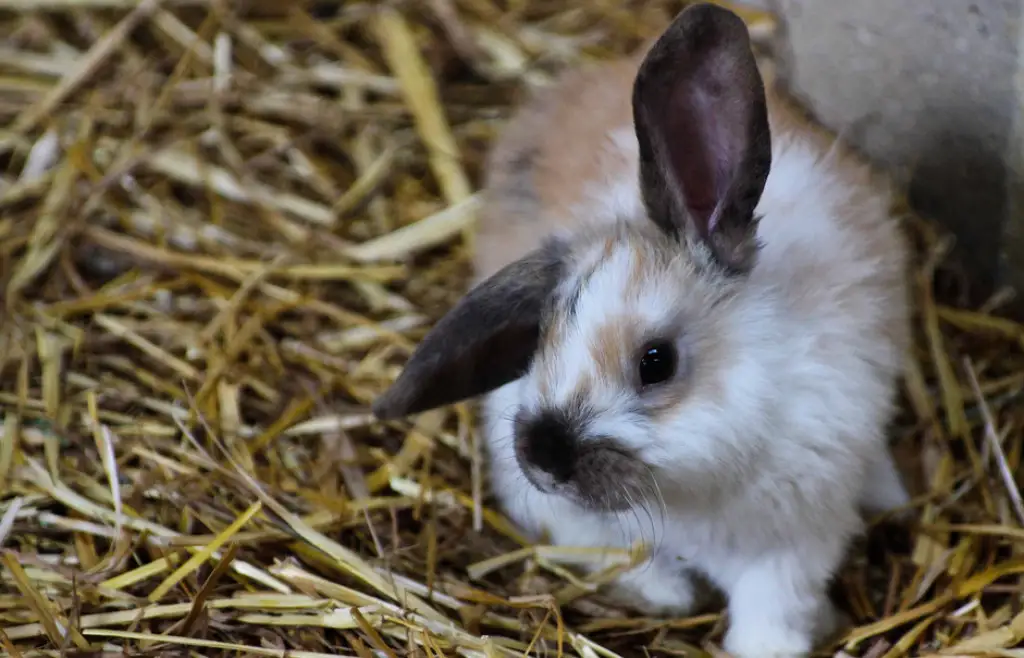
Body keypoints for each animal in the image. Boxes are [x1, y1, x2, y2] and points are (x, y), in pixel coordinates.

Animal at [374, 5, 913, 658]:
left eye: (656, 362)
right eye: (541, 339)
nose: (543, 459)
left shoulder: (796, 542)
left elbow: (772, 617)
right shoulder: (573, 520)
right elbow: (623, 556)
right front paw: (669, 596)